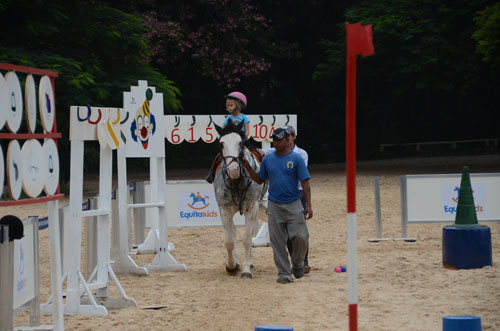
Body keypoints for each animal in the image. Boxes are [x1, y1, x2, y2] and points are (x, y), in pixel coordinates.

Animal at [212, 120, 268, 278]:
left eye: (240, 143)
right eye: (221, 144)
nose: (233, 170)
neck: (236, 182)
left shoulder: (251, 208)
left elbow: (247, 238)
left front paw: (246, 270)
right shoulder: (225, 210)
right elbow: (229, 240)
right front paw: (231, 266)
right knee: (233, 231)